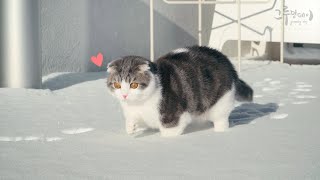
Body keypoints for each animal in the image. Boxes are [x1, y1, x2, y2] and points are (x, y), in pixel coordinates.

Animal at [106, 45, 254, 137]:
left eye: (134, 85)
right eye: (117, 85)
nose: (124, 95)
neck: (139, 104)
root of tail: (226, 60)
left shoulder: (173, 117)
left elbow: (169, 133)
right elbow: (131, 121)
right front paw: (131, 128)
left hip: (221, 103)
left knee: (221, 120)